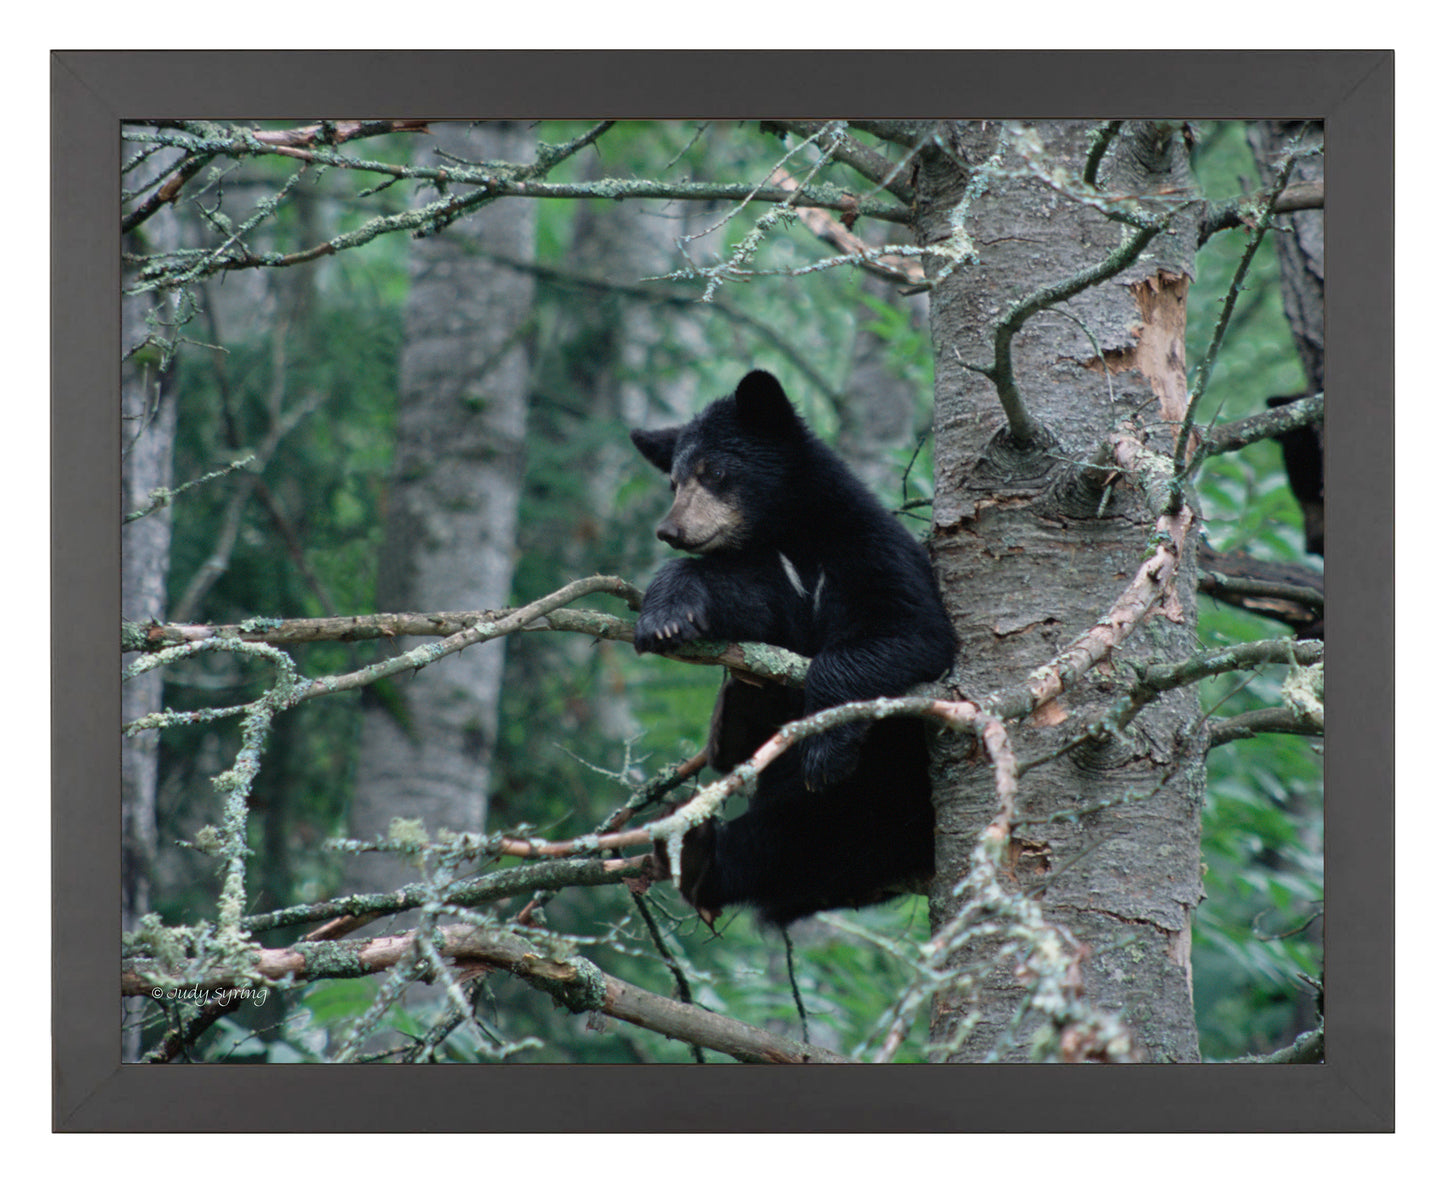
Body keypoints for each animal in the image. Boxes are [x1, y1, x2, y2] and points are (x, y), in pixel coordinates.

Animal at [630, 369, 957, 927]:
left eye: (714, 471)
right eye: (673, 481)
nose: (670, 530)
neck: (790, 531)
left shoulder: (865, 548)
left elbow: (909, 630)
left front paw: (825, 746)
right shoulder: (772, 573)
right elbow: (743, 599)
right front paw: (668, 616)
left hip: (886, 786)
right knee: (782, 844)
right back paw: (696, 849)